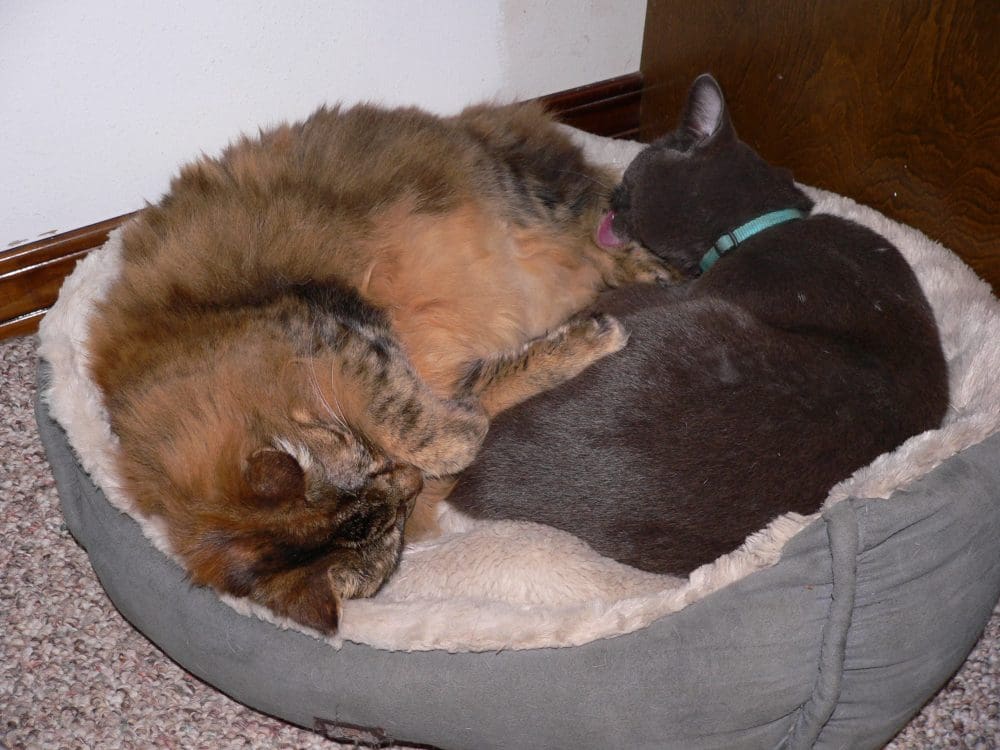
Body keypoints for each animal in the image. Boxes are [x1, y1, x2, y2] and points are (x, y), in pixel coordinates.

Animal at [89, 100, 673, 634]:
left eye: (368, 466)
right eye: (390, 528)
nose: (408, 482)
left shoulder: (328, 329)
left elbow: (423, 426)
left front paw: (466, 430)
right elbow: (488, 390)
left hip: (529, 195)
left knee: (612, 229)